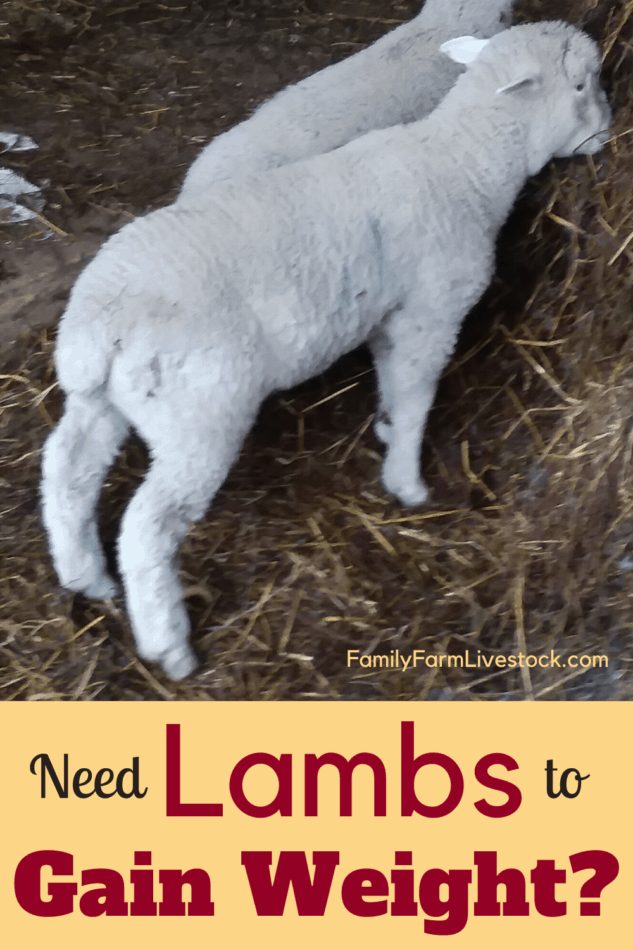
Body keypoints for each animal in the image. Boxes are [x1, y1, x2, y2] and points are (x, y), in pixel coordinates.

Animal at [42, 20, 608, 676]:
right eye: (580, 84)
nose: (609, 131)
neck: (464, 161)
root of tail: (98, 321)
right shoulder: (430, 312)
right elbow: (415, 397)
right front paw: (407, 482)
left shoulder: (388, 319)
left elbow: (391, 389)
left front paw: (385, 434)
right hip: (199, 415)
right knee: (147, 526)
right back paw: (170, 646)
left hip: (105, 401)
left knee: (67, 470)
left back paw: (84, 576)